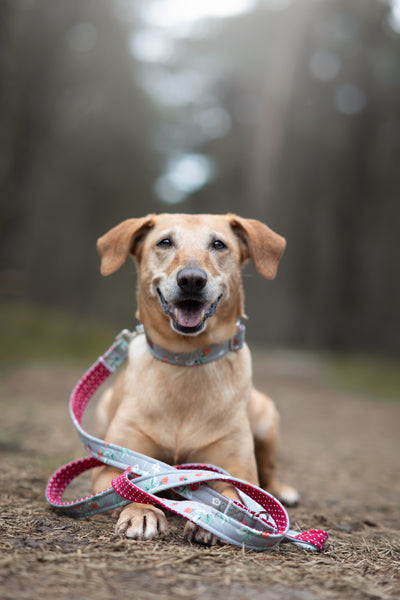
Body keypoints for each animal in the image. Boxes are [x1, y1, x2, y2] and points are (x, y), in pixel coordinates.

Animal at [94, 214, 296, 544]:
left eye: (219, 244)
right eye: (164, 242)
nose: (191, 279)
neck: (186, 360)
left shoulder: (235, 471)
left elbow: (234, 496)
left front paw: (212, 521)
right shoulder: (111, 468)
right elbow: (132, 488)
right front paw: (142, 512)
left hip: (267, 419)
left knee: (270, 469)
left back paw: (282, 491)